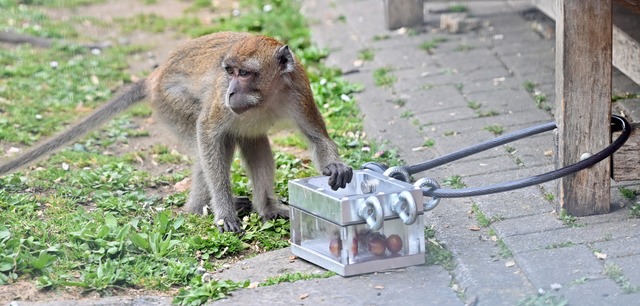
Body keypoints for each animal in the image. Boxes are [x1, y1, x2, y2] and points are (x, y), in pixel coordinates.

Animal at [0, 31, 356, 232]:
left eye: (245, 73)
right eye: (229, 72)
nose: (231, 92)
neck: (266, 95)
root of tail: (154, 77)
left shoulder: (299, 89)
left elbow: (316, 137)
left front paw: (334, 166)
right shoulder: (216, 102)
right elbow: (208, 135)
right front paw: (224, 213)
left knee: (253, 141)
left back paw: (264, 208)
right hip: (171, 103)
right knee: (214, 144)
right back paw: (199, 210)